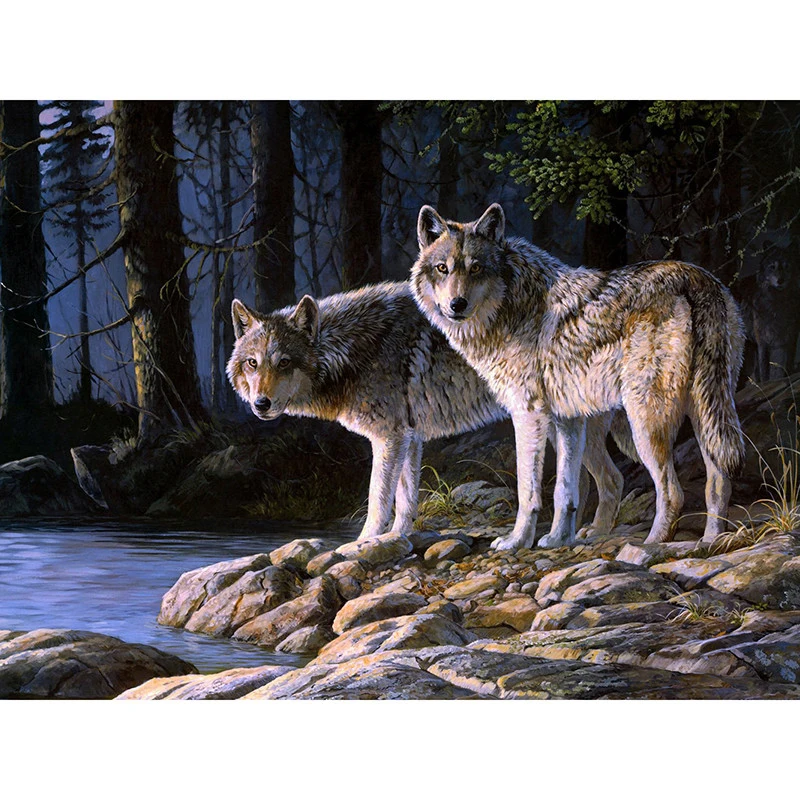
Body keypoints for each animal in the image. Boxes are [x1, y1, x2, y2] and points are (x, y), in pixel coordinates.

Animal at [227, 282, 626, 541]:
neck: (351, 350)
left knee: (600, 481)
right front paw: (394, 539)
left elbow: (378, 499)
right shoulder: (408, 438)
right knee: (603, 480)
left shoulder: (388, 438)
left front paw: (360, 545)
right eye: (252, 363)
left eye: (284, 363)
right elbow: (406, 500)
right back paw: (584, 536)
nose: (260, 404)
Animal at [411, 203, 746, 550]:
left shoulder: (527, 414)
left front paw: (517, 541)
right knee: (711, 481)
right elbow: (567, 489)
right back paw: (707, 541)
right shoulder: (566, 419)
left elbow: (529, 490)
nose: (457, 304)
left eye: (475, 268)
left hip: (645, 421)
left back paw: (651, 543)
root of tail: (695, 277)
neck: (510, 303)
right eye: (442, 268)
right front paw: (558, 538)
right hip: (701, 414)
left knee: (672, 490)